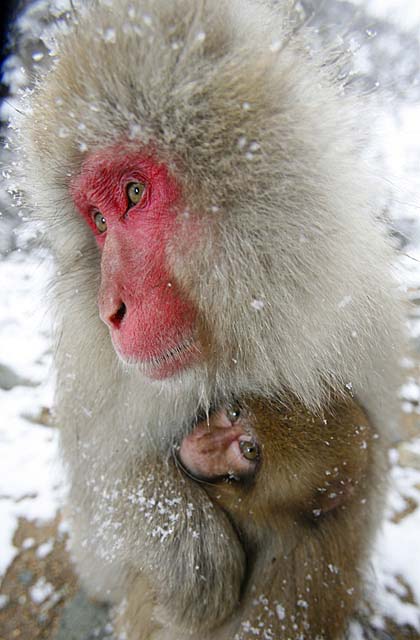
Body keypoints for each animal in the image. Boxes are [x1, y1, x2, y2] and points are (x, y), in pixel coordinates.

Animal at [19, 1, 404, 640]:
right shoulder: (90, 374)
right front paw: (193, 554)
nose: (110, 310)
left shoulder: (355, 313)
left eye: (133, 192)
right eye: (97, 220)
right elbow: (101, 526)